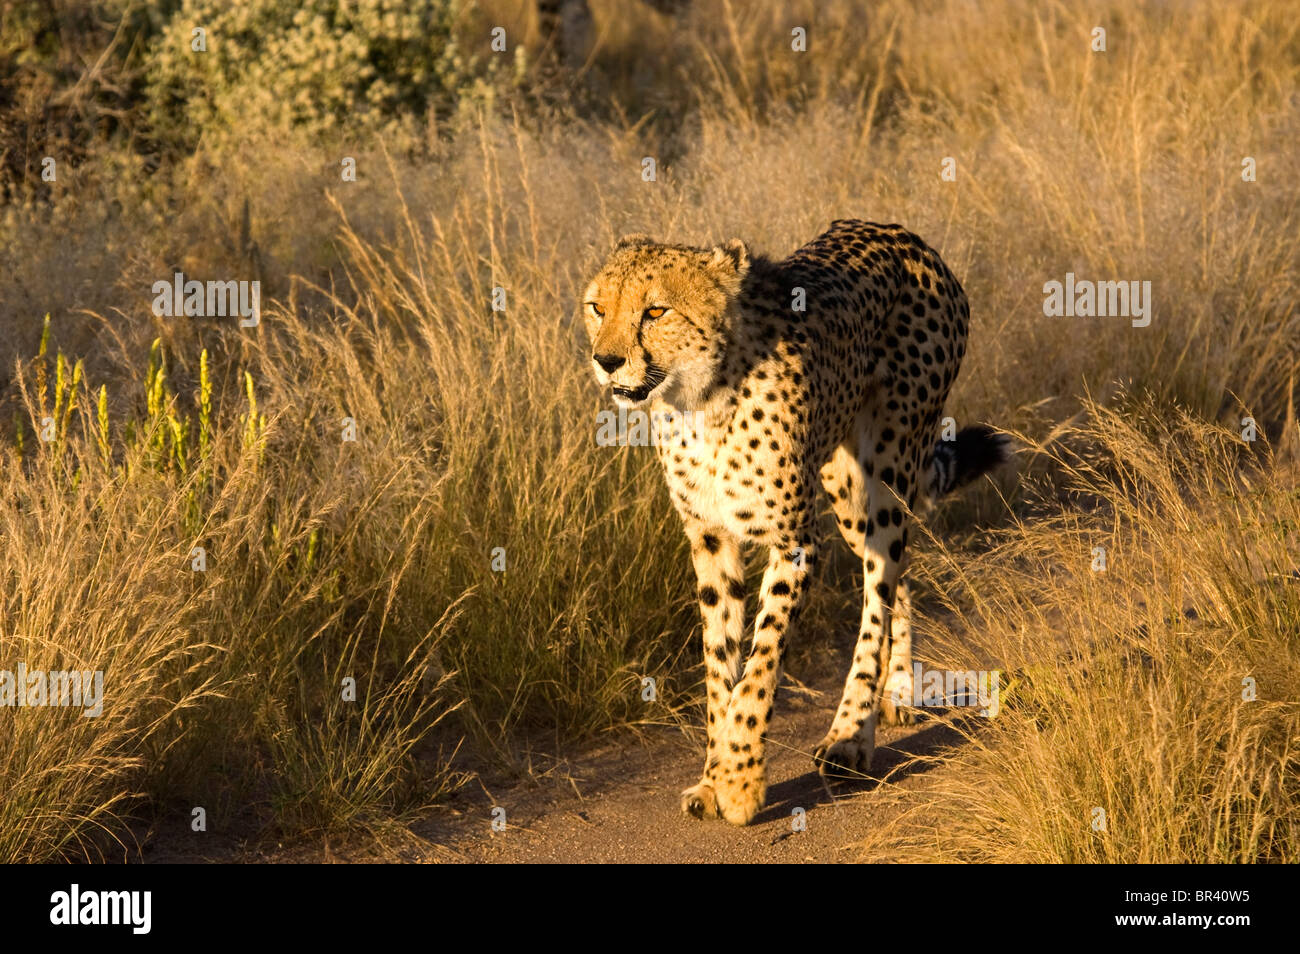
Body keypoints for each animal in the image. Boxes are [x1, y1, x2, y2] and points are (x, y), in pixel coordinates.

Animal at [582, 220, 1013, 826]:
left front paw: (739, 781)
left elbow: (760, 662)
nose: (606, 360)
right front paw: (713, 775)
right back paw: (898, 690)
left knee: (878, 592)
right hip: (844, 485)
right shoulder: (710, 539)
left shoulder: (794, 541)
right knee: (896, 575)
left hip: (887, 470)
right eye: (598, 307)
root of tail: (904, 235)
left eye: (656, 311)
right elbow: (720, 663)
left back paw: (851, 737)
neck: (700, 400)